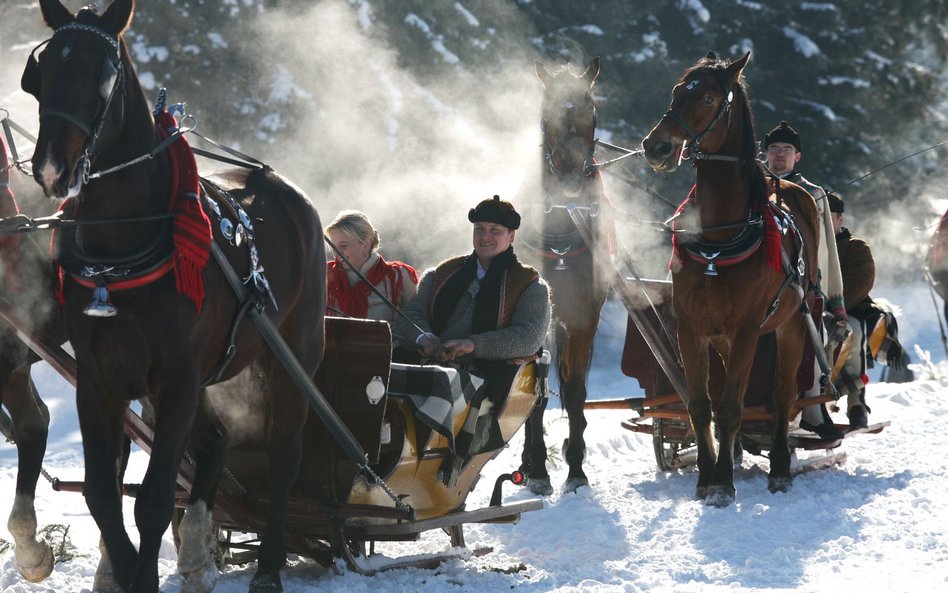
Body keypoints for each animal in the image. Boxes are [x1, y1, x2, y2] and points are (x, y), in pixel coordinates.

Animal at [636, 52, 824, 504]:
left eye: (707, 97)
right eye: (676, 90)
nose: (656, 145)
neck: (718, 238)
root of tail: (792, 186)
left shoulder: (747, 329)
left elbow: (731, 406)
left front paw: (722, 483)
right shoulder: (691, 327)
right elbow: (701, 405)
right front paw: (708, 476)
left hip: (790, 325)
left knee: (781, 396)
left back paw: (779, 467)